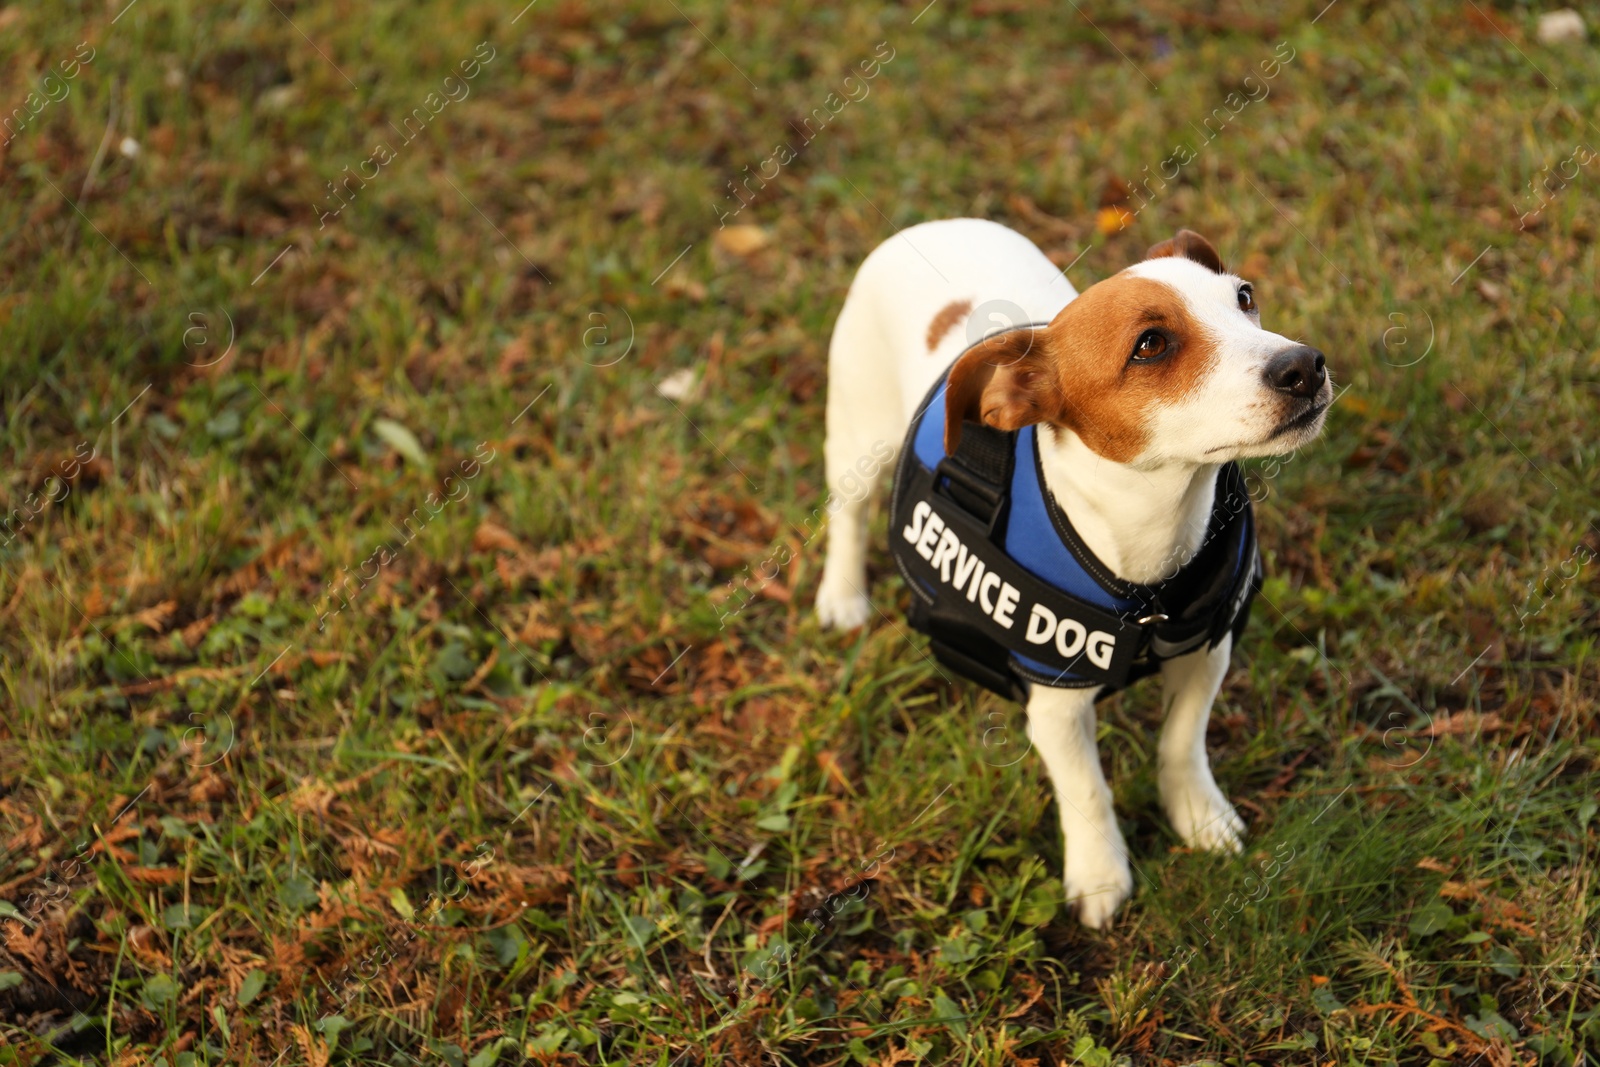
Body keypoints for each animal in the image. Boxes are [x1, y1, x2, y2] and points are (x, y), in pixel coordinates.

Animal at [819, 219, 1331, 927]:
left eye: (1246, 298)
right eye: (1151, 345)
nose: (1305, 364)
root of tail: (932, 225)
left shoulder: (1205, 655)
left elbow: (1182, 743)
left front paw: (1198, 817)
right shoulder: (1056, 711)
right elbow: (1087, 790)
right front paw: (1099, 876)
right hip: (858, 433)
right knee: (845, 509)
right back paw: (842, 596)